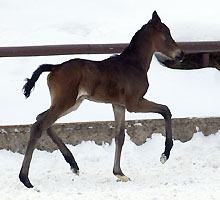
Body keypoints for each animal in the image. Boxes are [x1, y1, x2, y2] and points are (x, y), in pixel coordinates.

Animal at [19, 11, 184, 188]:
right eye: (166, 35)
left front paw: (119, 173)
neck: (134, 64)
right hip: (65, 102)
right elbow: (165, 110)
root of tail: (55, 67)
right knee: (38, 126)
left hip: (72, 103)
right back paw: (25, 179)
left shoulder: (118, 105)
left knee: (41, 119)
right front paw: (165, 154)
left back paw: (73, 164)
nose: (181, 54)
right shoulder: (134, 103)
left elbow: (120, 136)